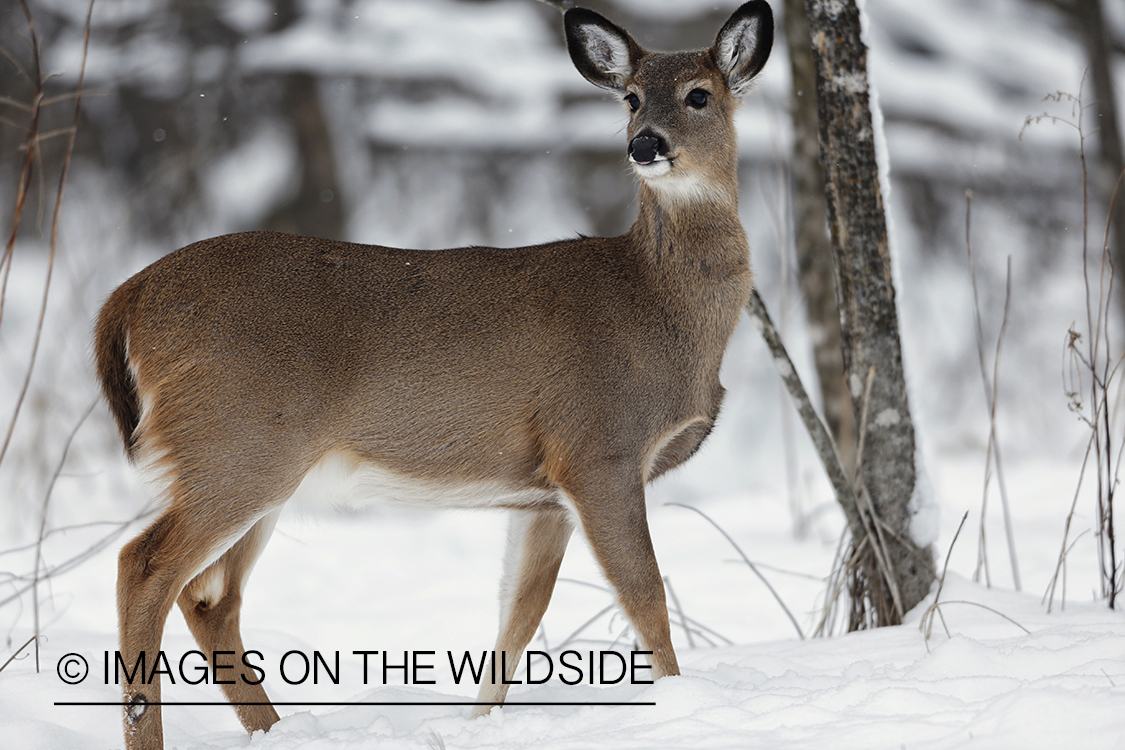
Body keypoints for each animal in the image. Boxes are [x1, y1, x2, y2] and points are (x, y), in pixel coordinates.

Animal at [96, 2, 774, 746]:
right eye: (629, 98)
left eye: (698, 95)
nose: (644, 144)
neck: (656, 304)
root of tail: (126, 296)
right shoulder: (599, 446)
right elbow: (645, 595)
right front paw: (683, 705)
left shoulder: (543, 492)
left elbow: (519, 615)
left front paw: (476, 722)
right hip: (233, 442)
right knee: (146, 567)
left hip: (252, 460)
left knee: (210, 596)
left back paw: (274, 730)